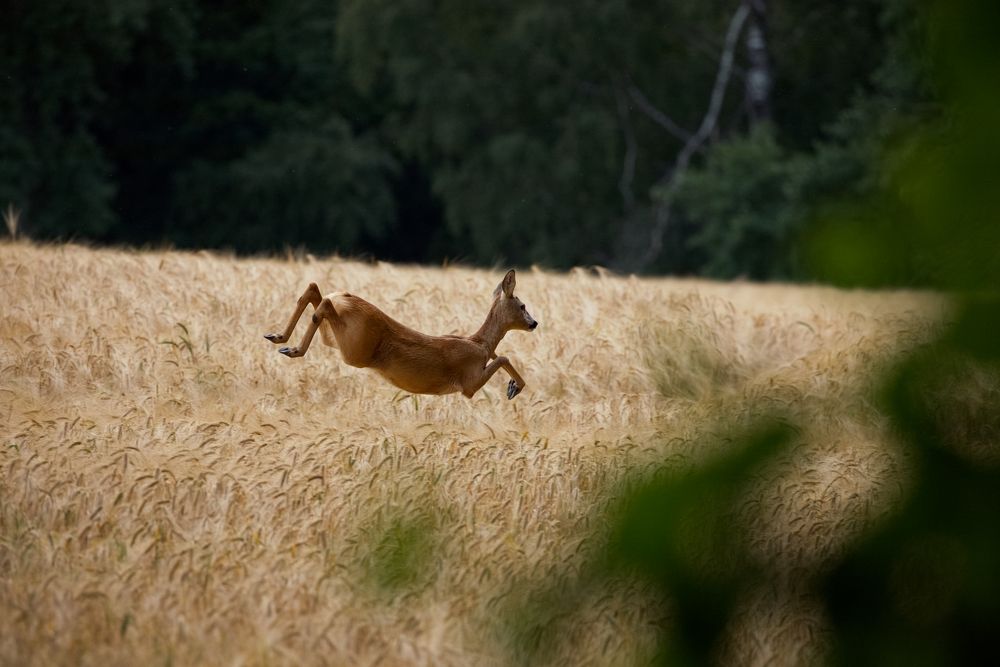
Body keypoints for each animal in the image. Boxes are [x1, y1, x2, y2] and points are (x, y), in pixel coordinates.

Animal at [264, 270, 539, 399]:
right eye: (523, 305)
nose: (534, 323)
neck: (479, 343)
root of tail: (344, 298)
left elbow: (500, 354)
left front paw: (514, 386)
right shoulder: (468, 384)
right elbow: (502, 356)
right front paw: (514, 388)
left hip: (336, 338)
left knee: (314, 292)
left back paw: (278, 338)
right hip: (354, 348)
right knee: (323, 302)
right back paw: (292, 348)